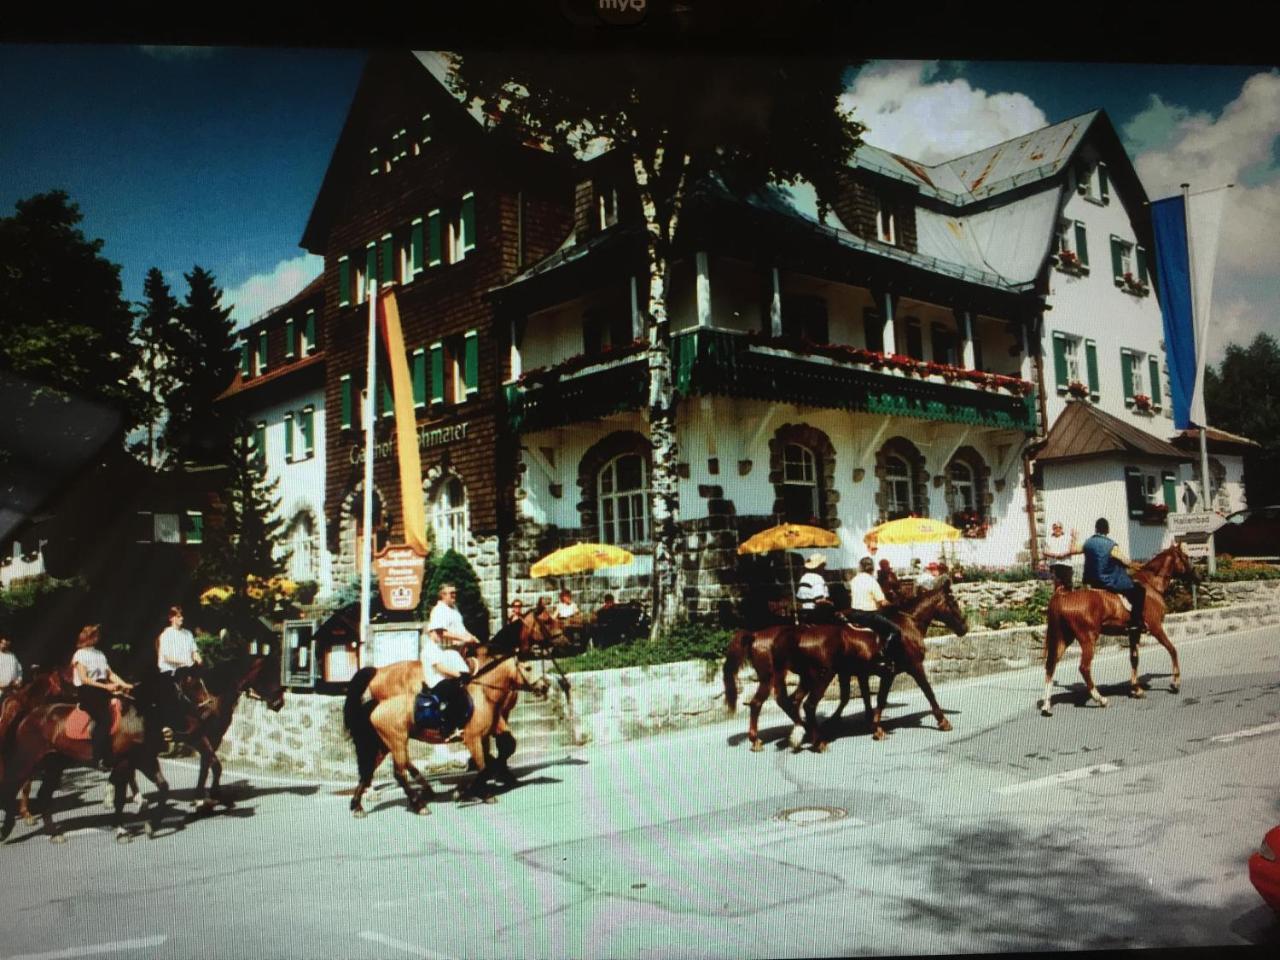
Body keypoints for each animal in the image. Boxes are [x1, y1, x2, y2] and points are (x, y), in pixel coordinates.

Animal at [0, 670, 204, 844]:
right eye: (188, 688)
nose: (198, 719)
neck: (136, 714)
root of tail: (29, 714)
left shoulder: (143, 760)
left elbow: (164, 788)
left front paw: (150, 827)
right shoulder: (124, 762)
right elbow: (120, 798)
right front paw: (121, 831)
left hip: (54, 765)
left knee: (42, 795)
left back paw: (54, 834)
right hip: (27, 760)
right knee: (12, 789)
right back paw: (7, 831)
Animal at [345, 647, 550, 819]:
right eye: (528, 667)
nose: (545, 686)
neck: (483, 693)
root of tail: (375, 706)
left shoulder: (486, 734)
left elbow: (496, 755)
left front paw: (480, 789)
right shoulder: (473, 739)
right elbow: (483, 766)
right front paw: (469, 792)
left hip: (384, 746)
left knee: (368, 771)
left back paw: (357, 807)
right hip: (397, 742)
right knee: (399, 773)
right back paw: (419, 805)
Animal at [727, 578, 962, 752]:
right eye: (953, 603)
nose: (964, 628)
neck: (907, 624)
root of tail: (755, 635)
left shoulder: (879, 673)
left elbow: (873, 698)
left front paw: (874, 726)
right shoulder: (913, 667)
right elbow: (928, 692)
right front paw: (943, 721)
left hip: (803, 677)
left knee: (790, 702)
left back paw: (800, 733)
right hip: (813, 676)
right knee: (796, 704)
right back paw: (813, 740)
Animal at [1034, 542, 1192, 716]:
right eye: (1185, 557)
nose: (1195, 576)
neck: (1151, 585)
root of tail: (1062, 596)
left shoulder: (1134, 633)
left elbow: (1134, 659)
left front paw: (1136, 689)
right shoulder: (1156, 628)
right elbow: (1172, 650)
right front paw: (1175, 683)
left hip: (1064, 638)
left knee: (1051, 665)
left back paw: (1047, 706)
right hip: (1088, 639)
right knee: (1084, 668)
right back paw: (1101, 699)